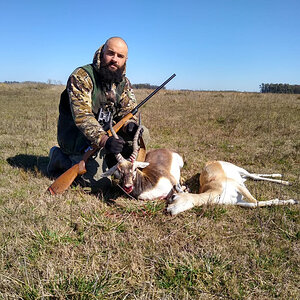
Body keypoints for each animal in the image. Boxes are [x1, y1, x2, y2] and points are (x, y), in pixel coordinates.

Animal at [166, 162, 298, 216]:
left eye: (173, 196)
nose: (167, 210)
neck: (216, 192)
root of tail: (212, 162)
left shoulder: (237, 186)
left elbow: (255, 201)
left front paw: (292, 200)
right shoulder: (239, 201)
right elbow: (256, 204)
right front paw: (292, 201)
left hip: (240, 171)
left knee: (254, 175)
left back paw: (286, 181)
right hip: (242, 177)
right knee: (254, 176)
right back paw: (282, 177)